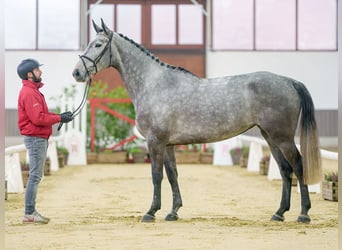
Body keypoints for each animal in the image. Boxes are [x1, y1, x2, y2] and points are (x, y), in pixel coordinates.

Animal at [72, 19, 320, 223]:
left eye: (98, 44)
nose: (77, 73)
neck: (153, 84)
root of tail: (289, 81)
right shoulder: (168, 144)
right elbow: (172, 175)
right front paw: (173, 212)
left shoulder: (155, 141)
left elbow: (156, 175)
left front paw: (151, 212)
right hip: (269, 136)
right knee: (285, 170)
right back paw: (279, 213)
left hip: (282, 137)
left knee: (298, 165)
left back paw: (304, 214)